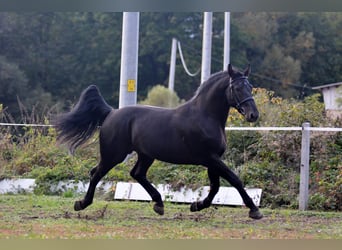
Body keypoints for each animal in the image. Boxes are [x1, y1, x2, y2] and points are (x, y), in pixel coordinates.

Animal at [54, 64, 262, 219]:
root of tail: (111, 113)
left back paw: (159, 204)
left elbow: (216, 187)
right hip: (114, 154)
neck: (205, 116)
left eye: (250, 87)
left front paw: (196, 205)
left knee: (137, 174)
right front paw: (254, 210)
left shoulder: (213, 160)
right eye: (237, 88)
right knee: (96, 173)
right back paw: (82, 204)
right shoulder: (210, 158)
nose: (253, 115)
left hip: (145, 155)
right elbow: (234, 179)